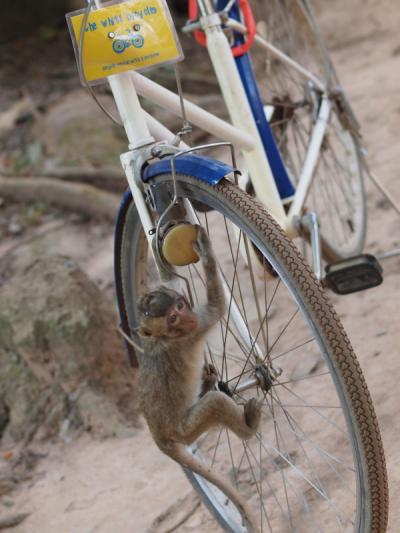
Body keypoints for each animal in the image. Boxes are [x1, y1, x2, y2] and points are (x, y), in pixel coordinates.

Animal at [137, 225, 262, 532]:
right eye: (172, 317)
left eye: (181, 305)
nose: (189, 318)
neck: (164, 338)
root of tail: (160, 437)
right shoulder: (190, 335)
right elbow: (216, 307)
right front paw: (206, 252)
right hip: (186, 429)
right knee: (216, 403)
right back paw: (248, 426)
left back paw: (206, 383)